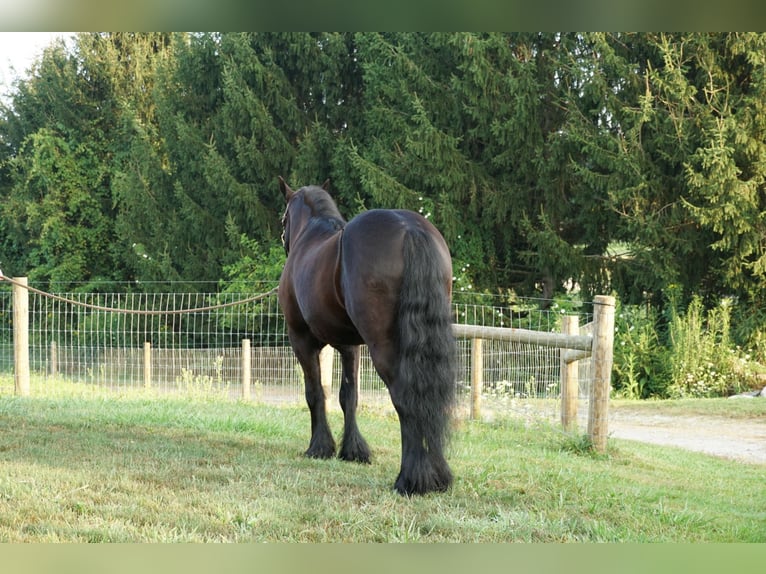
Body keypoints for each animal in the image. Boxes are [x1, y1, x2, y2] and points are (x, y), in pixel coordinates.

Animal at [277, 176, 457, 495]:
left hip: (383, 347)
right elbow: (349, 396)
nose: (282, 237)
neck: (310, 237)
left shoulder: (301, 341)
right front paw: (353, 451)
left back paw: (410, 479)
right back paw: (438, 476)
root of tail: (410, 228)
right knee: (429, 397)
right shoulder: (350, 346)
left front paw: (319, 447)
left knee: (405, 397)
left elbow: (315, 393)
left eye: (283, 219)